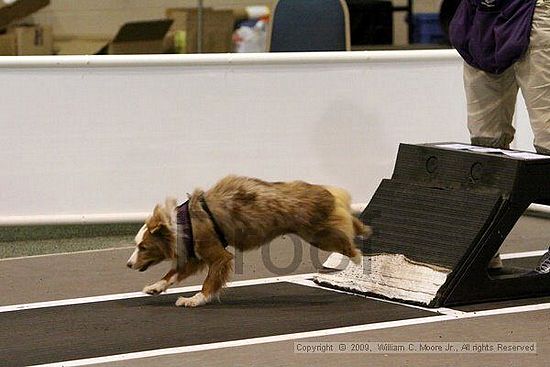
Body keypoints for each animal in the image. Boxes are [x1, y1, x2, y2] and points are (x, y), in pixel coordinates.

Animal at [127, 175, 374, 308]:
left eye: (143, 247)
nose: (128, 264)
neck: (183, 222)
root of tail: (325, 191)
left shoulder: (218, 255)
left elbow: (209, 282)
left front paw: (195, 299)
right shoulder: (196, 257)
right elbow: (172, 274)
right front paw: (155, 287)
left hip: (319, 234)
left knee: (347, 241)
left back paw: (357, 258)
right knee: (350, 223)